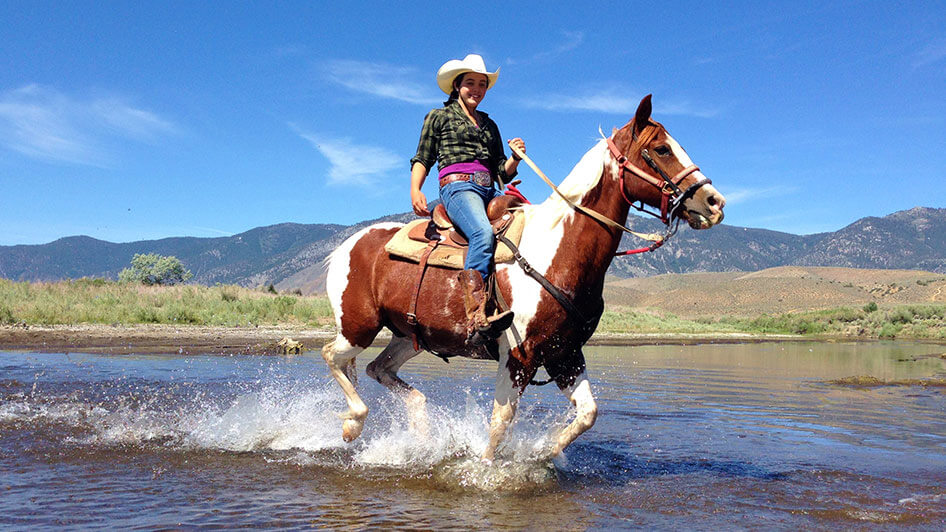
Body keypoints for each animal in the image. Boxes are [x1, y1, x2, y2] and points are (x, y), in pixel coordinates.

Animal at [320, 95, 728, 462]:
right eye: (661, 149)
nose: (714, 202)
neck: (557, 252)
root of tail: (345, 247)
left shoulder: (565, 354)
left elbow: (587, 414)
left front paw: (544, 452)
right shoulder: (518, 355)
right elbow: (500, 424)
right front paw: (485, 471)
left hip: (411, 335)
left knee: (378, 369)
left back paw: (418, 432)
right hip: (359, 327)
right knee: (332, 356)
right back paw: (353, 426)